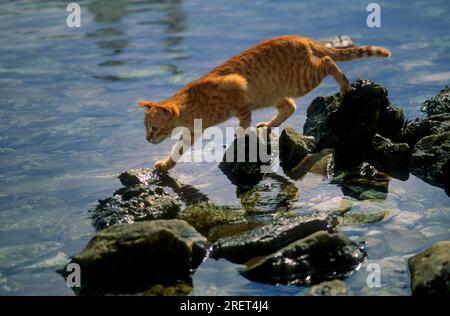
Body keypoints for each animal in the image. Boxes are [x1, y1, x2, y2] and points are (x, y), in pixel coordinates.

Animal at [137, 35, 390, 170]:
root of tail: (303, 38)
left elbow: (242, 125)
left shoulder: (239, 95)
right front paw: (166, 164)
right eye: (146, 128)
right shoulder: (192, 132)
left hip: (303, 78)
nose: (147, 139)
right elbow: (179, 149)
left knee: (328, 60)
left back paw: (345, 86)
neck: (192, 104)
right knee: (289, 106)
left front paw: (238, 139)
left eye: (154, 128)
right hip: (276, 92)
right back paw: (268, 125)